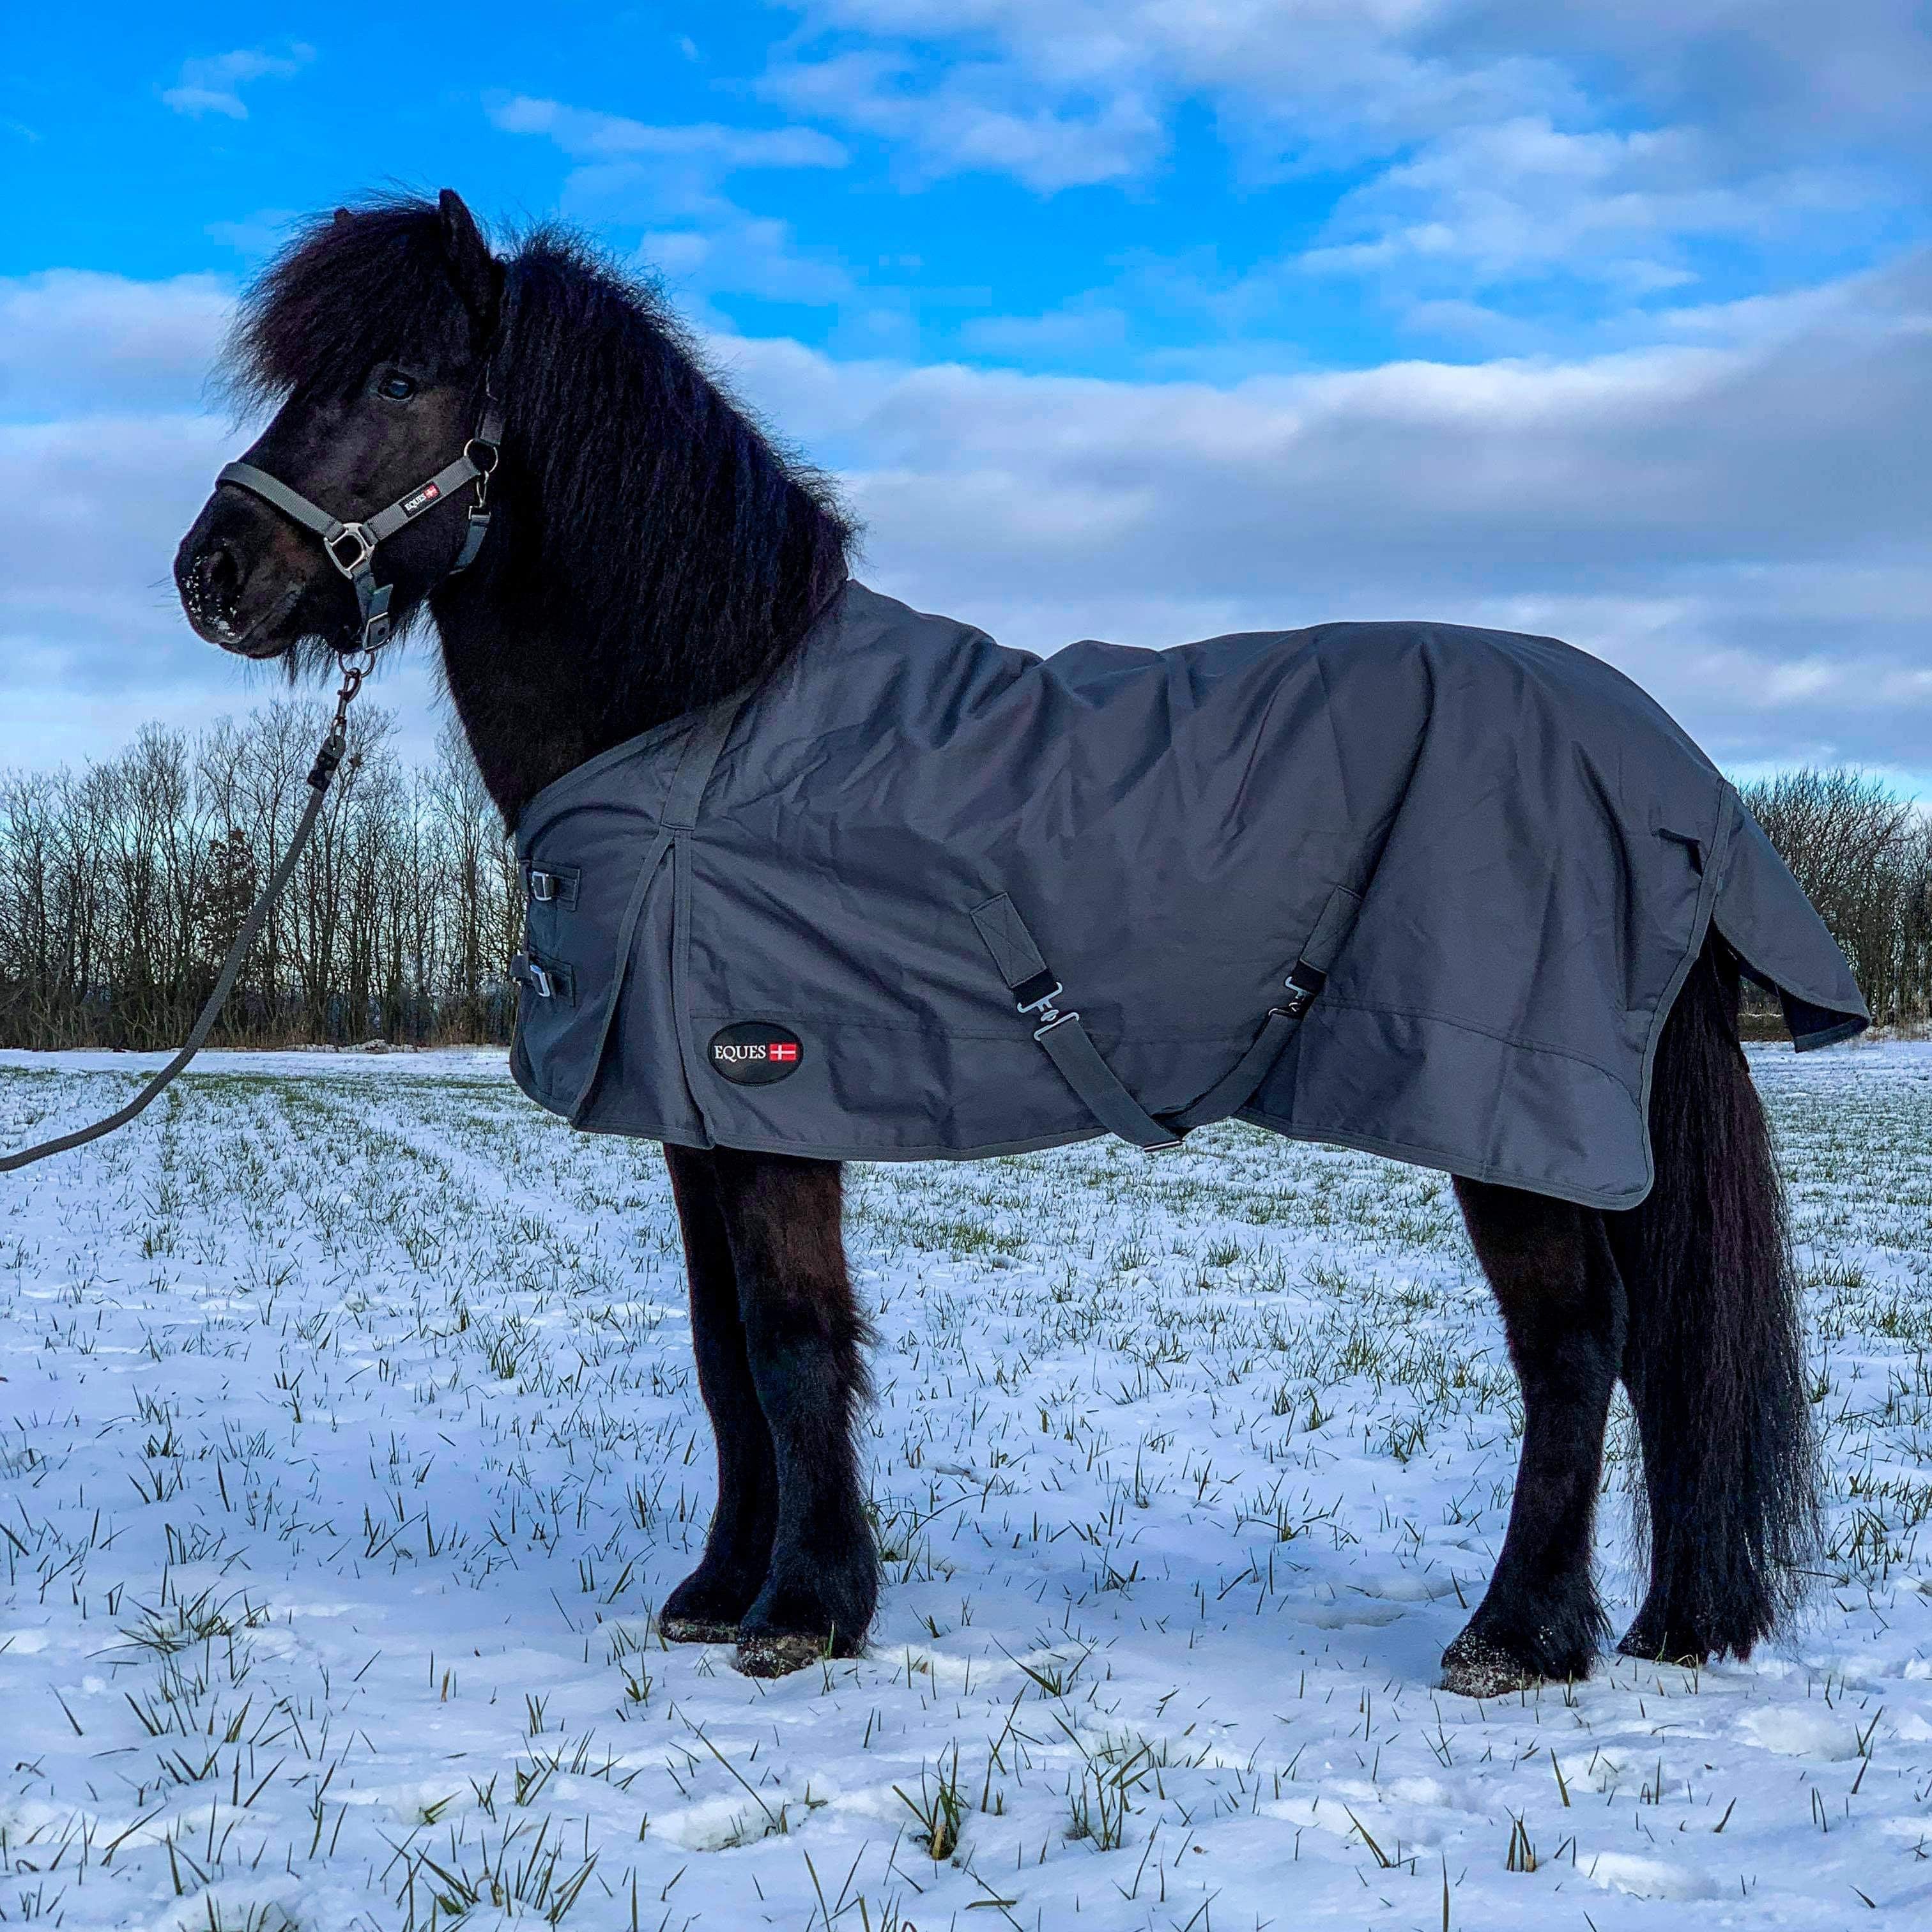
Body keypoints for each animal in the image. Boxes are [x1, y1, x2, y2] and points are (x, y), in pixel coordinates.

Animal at [174, 192, 1816, 1692]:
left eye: (397, 379)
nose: (212, 575)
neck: (709, 721)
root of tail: (1676, 774)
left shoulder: (772, 1095)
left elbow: (790, 1338)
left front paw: (806, 1613)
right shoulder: (694, 1113)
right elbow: (720, 1352)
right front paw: (719, 1589)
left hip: (1505, 1117)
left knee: (1576, 1344)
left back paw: (1515, 1638)